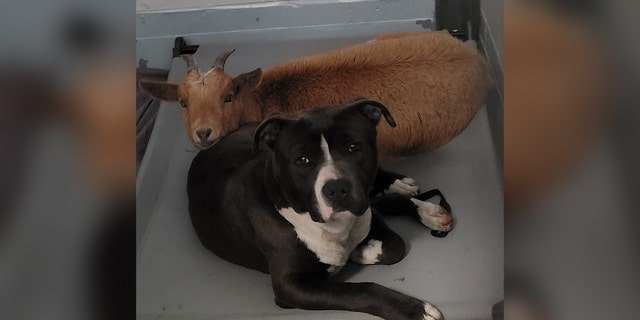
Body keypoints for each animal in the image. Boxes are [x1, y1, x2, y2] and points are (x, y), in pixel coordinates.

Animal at [188, 100, 452, 320]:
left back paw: (419, 202)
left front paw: (361, 250)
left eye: (353, 147)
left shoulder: (365, 214)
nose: (336, 188)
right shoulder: (291, 287)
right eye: (302, 160)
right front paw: (414, 310)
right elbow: (361, 290)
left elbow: (396, 245)